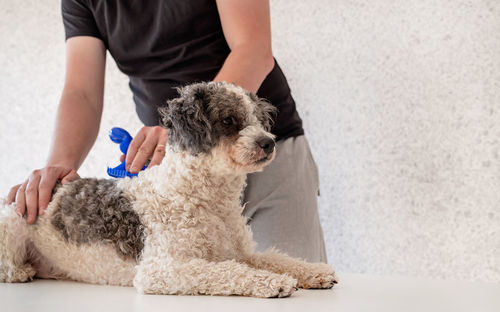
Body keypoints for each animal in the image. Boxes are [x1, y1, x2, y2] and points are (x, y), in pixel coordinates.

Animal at [0, 81, 338, 296]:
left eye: (259, 119)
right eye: (229, 120)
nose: (268, 143)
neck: (204, 199)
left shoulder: (236, 253)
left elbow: (276, 258)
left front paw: (313, 272)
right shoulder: (162, 269)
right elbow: (226, 273)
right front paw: (273, 282)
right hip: (10, 226)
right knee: (7, 267)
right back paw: (21, 271)